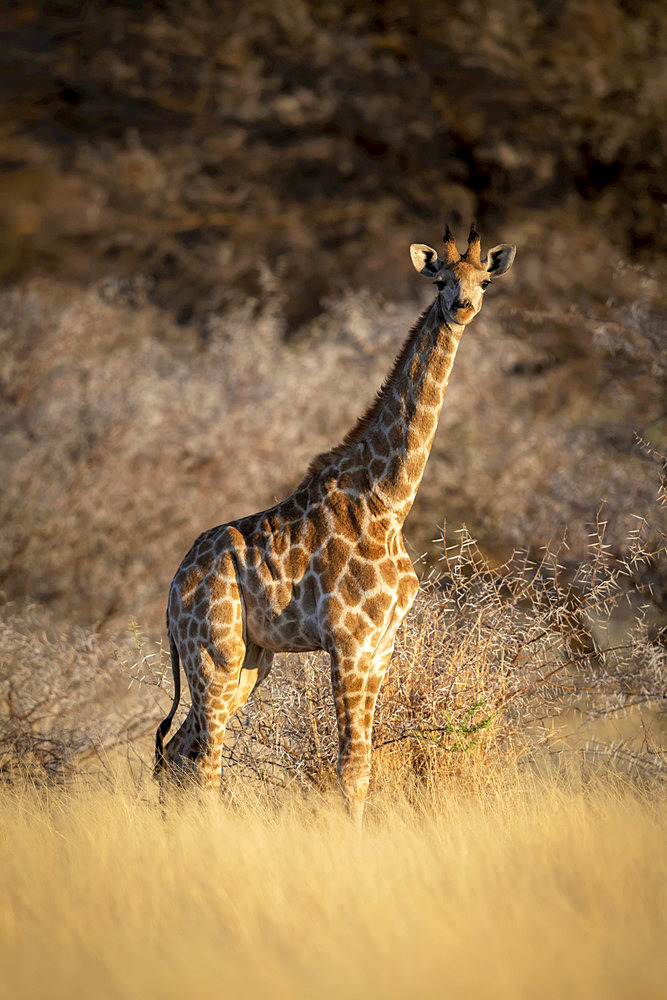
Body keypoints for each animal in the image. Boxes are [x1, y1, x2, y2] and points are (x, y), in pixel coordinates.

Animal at [157, 223, 516, 824]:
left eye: (484, 279)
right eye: (440, 279)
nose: (462, 307)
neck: (388, 500)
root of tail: (173, 585)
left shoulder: (381, 646)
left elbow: (364, 768)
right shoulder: (347, 642)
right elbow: (349, 770)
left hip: (251, 660)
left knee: (175, 754)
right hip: (214, 651)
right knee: (202, 762)